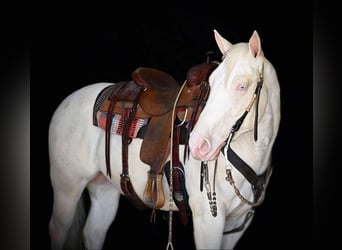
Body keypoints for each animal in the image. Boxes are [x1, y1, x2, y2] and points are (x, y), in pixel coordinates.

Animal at [47, 29, 280, 250]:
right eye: (211, 84)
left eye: (242, 86)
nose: (198, 145)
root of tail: (68, 101)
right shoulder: (208, 221)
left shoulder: (236, 225)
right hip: (67, 187)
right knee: (58, 230)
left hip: (104, 188)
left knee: (93, 233)